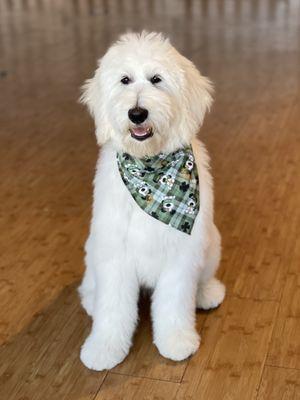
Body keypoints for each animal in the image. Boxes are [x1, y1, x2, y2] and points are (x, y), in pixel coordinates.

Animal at [78, 32, 224, 372]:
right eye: (125, 80)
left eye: (157, 80)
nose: (137, 113)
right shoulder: (114, 253)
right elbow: (113, 307)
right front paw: (104, 348)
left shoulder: (181, 255)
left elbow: (174, 302)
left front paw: (176, 340)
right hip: (94, 246)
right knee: (91, 286)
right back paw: (90, 298)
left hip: (211, 242)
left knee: (203, 278)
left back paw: (207, 292)